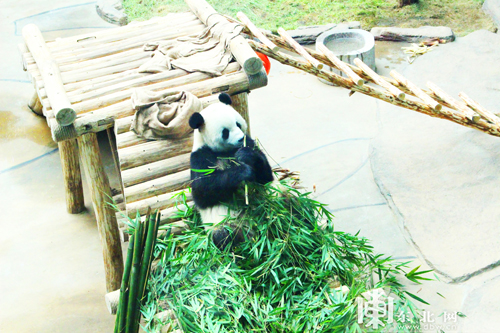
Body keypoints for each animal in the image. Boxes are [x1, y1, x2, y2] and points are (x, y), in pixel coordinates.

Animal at [188, 92, 274, 248]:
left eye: (237, 124)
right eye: (225, 132)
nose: (240, 138)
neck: (226, 151)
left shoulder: (250, 142)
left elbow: (266, 176)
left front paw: (246, 156)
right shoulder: (200, 157)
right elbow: (202, 190)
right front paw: (243, 171)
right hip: (226, 223)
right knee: (223, 236)